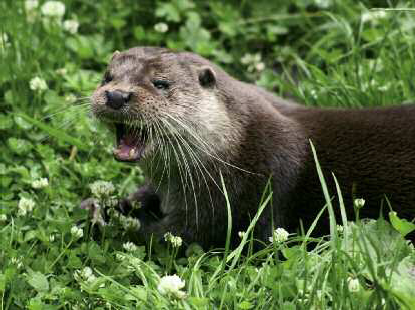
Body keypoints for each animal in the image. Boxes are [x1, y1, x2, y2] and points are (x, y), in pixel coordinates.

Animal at [89, 46, 415, 248]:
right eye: (107, 77)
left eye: (160, 83)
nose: (116, 95)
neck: (234, 152)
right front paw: (107, 203)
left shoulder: (231, 203)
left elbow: (167, 236)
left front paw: (109, 220)